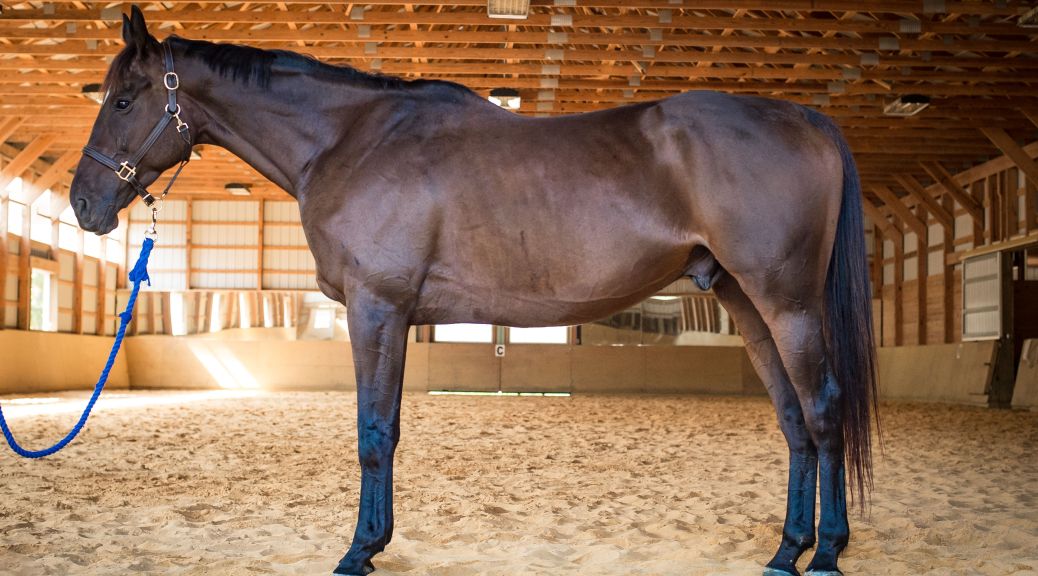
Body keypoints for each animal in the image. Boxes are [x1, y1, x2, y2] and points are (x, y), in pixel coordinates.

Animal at [70, 7, 878, 576]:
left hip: (788, 304)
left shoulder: (376, 307)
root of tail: (804, 117)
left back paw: (828, 553)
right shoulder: (396, 316)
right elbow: (389, 430)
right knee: (794, 420)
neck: (349, 139)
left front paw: (355, 553)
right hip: (746, 302)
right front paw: (376, 543)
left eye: (124, 99)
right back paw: (786, 551)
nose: (83, 204)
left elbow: (372, 434)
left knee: (823, 411)